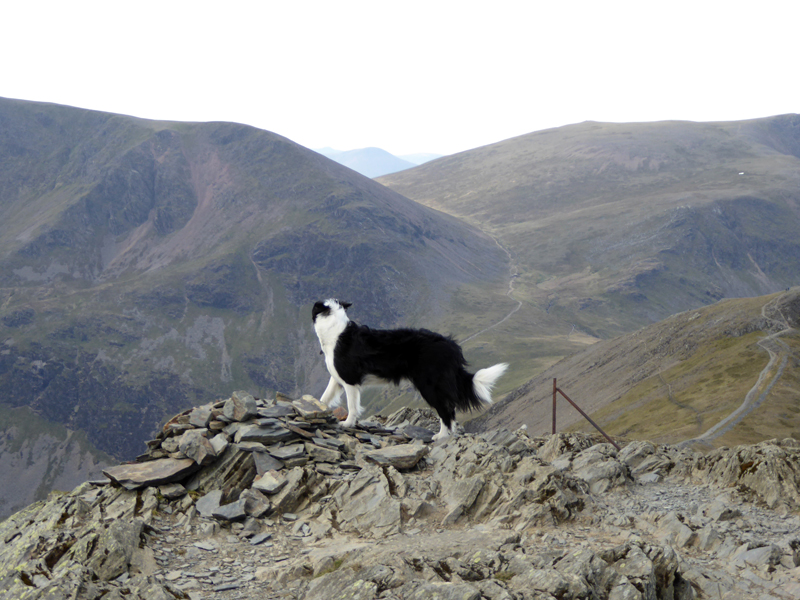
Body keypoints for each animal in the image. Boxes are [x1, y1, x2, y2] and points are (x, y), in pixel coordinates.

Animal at [312, 300, 506, 440]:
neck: (334, 330)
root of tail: (451, 346)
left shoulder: (350, 380)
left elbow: (352, 406)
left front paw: (347, 424)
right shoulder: (337, 379)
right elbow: (324, 397)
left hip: (429, 386)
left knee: (446, 410)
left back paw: (441, 436)